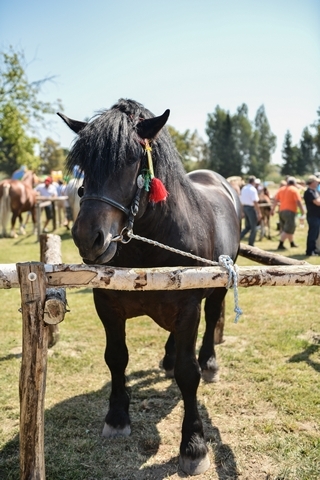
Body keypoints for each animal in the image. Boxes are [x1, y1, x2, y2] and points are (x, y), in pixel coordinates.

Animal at [58, 98, 241, 476]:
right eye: (83, 164)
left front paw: (193, 445)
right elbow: (116, 358)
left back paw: (210, 362)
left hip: (217, 285)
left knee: (212, 318)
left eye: (132, 159)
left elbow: (189, 373)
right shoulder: (107, 304)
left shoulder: (188, 307)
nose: (87, 237)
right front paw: (117, 417)